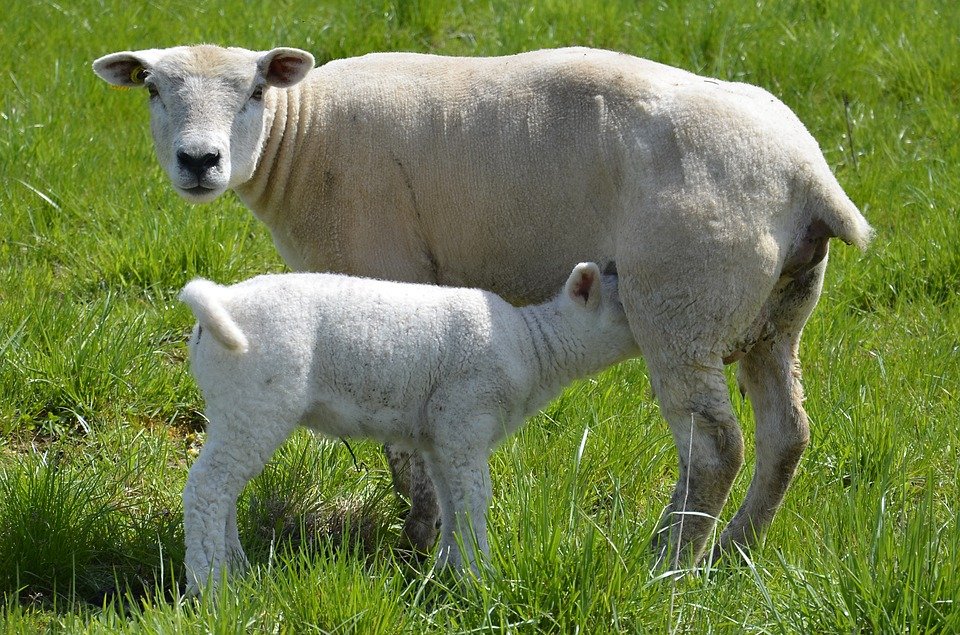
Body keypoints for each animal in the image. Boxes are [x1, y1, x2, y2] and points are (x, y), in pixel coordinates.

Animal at [178, 260, 636, 592]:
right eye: (624, 308)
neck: (534, 348)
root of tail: (221, 302)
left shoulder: (440, 437)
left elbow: (451, 502)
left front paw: (448, 572)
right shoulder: (465, 420)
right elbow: (475, 500)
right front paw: (481, 579)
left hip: (232, 406)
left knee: (224, 489)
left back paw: (236, 569)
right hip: (256, 401)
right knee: (207, 489)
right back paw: (210, 587)